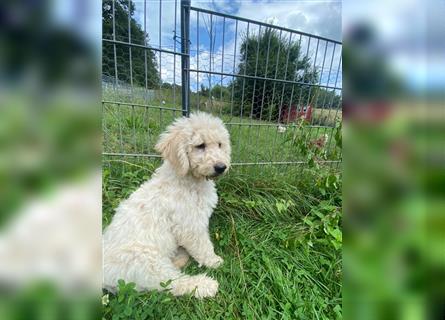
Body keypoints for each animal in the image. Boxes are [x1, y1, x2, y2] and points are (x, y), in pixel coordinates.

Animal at [103, 112, 231, 298]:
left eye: (220, 144)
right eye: (200, 146)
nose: (221, 167)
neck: (189, 180)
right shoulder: (189, 225)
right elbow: (202, 246)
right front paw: (213, 261)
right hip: (148, 262)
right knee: (172, 283)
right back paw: (205, 285)